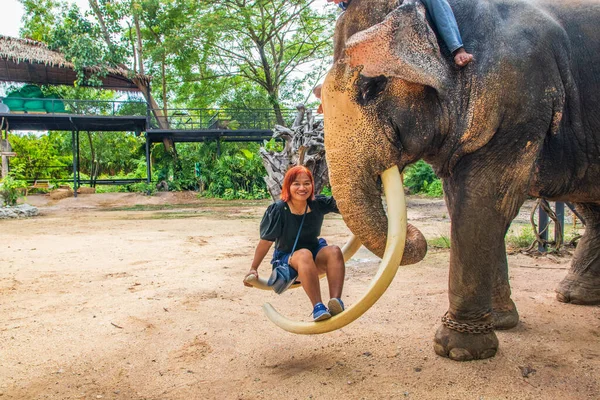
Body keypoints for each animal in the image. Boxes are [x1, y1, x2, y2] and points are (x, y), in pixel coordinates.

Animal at [318, 0, 600, 362]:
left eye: (371, 88)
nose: (415, 234)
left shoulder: (521, 97)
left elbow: (484, 200)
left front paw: (457, 350)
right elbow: (462, 201)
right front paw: (500, 323)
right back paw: (573, 296)